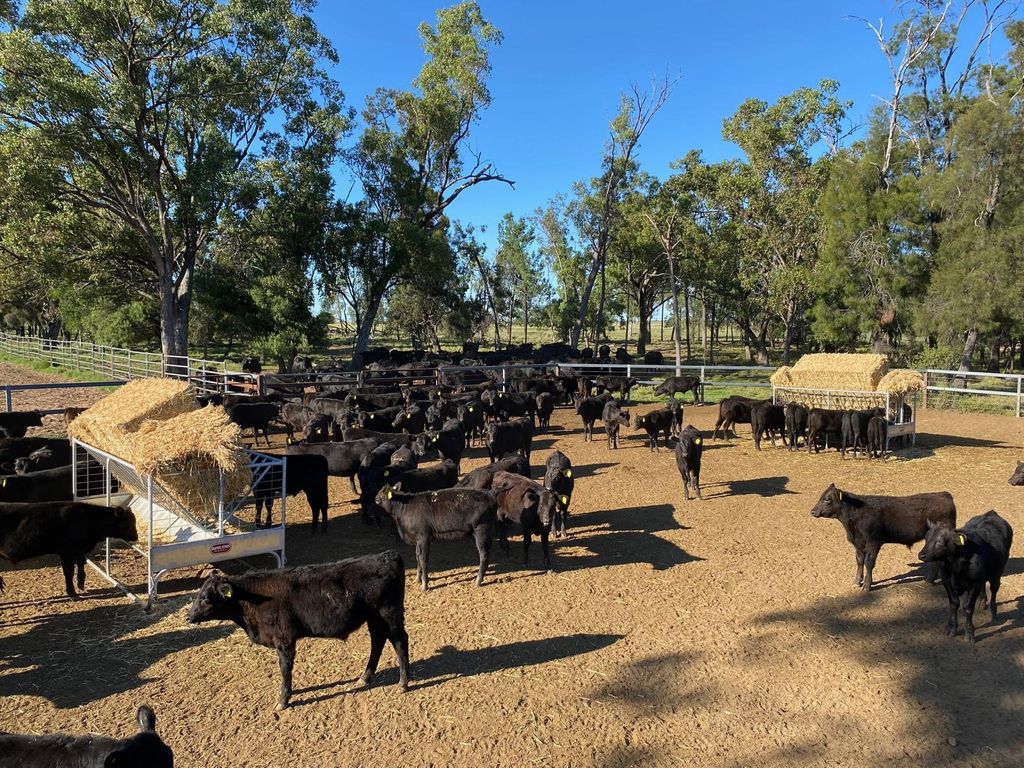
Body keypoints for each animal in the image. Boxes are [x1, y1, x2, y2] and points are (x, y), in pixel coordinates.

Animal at [0, 501, 138, 598]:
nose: (136, 537)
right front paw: (72, 592)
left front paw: (80, 583)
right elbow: (69, 572)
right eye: (128, 524)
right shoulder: (66, 552)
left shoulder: (80, 550)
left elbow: (81, 564)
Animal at [186, 551, 410, 710]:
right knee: (378, 641)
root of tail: (387, 555)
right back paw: (365, 677)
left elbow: (285, 669)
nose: (189, 617)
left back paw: (403, 683)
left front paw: (283, 699)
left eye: (205, 598)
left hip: (389, 614)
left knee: (400, 641)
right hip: (374, 619)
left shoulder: (284, 640)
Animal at [810, 484, 957, 592]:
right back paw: (930, 580)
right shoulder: (858, 543)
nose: (813, 511)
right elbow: (859, 560)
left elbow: (869, 562)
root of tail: (944, 494)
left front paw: (866, 586)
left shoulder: (873, 542)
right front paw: (857, 581)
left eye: (827, 499)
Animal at [918, 511, 1013, 644]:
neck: (955, 566)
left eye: (940, 541)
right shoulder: (947, 582)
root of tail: (992, 513)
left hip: (997, 573)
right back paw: (982, 602)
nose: (921, 555)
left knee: (994, 590)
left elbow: (967, 607)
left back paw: (993, 612)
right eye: (926, 539)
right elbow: (954, 604)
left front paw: (969, 633)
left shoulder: (974, 584)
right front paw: (951, 628)